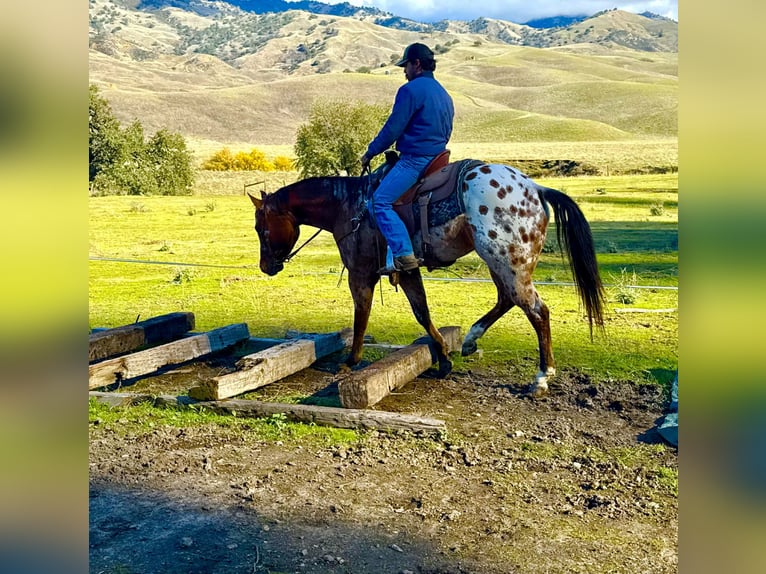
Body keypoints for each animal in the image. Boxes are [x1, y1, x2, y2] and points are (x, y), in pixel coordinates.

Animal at [248, 154, 605, 396]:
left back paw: (542, 377)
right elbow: (422, 312)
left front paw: (351, 360)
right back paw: (471, 340)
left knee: (536, 310)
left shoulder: (360, 273)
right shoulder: (407, 271)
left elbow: (361, 316)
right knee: (507, 299)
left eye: (261, 228)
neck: (348, 206)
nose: (266, 266)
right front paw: (444, 359)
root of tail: (535, 188)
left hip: (508, 262)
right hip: (500, 263)